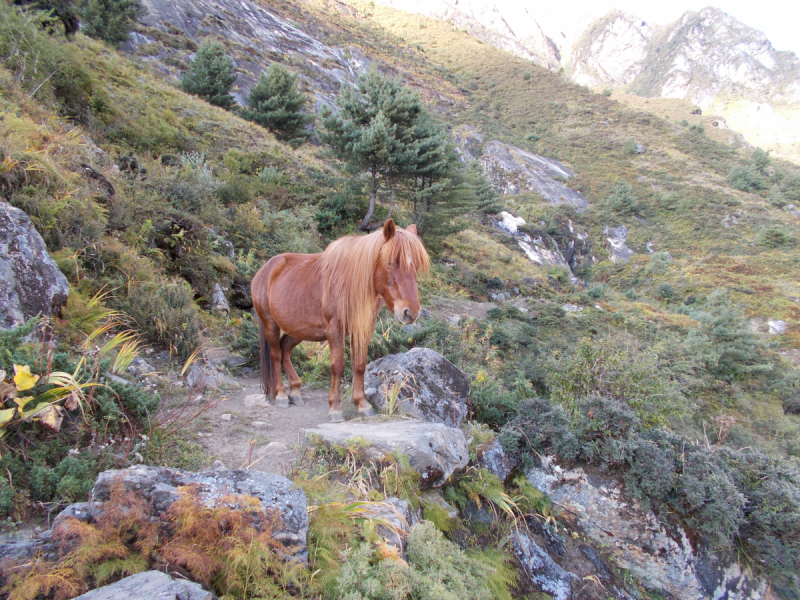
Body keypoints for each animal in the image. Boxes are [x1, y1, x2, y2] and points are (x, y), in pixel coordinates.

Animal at [252, 220, 428, 422]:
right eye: (390, 263)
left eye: (415, 266)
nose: (410, 312)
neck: (349, 283)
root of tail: (265, 270)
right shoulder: (335, 329)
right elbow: (337, 366)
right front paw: (335, 409)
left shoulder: (363, 329)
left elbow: (359, 365)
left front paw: (362, 404)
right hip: (271, 325)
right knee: (276, 354)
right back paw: (281, 394)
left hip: (298, 330)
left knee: (285, 350)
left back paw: (295, 391)